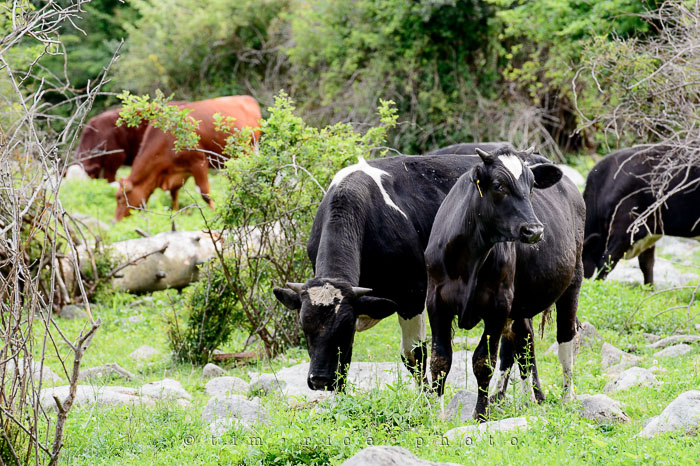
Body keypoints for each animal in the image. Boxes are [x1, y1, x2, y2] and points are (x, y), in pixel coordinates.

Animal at [115, 95, 261, 221]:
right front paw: (175, 215)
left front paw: (214, 213)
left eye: (120, 198)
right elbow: (174, 195)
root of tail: (248, 98)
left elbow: (205, 193)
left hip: (249, 150)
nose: (115, 221)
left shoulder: (199, 163)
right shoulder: (177, 173)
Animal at [425, 147, 585, 420]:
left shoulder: (498, 305)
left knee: (565, 339)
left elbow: (483, 362)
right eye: (499, 186)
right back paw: (526, 397)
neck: (470, 256)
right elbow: (440, 360)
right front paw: (437, 415)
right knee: (524, 342)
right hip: (521, 303)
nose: (534, 230)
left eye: (531, 186)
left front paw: (480, 414)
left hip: (572, 280)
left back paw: (566, 397)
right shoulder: (435, 301)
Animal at [583, 144, 700, 285]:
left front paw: (597, 285)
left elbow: (606, 261)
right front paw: (649, 288)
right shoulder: (649, 230)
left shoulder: (626, 228)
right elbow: (647, 264)